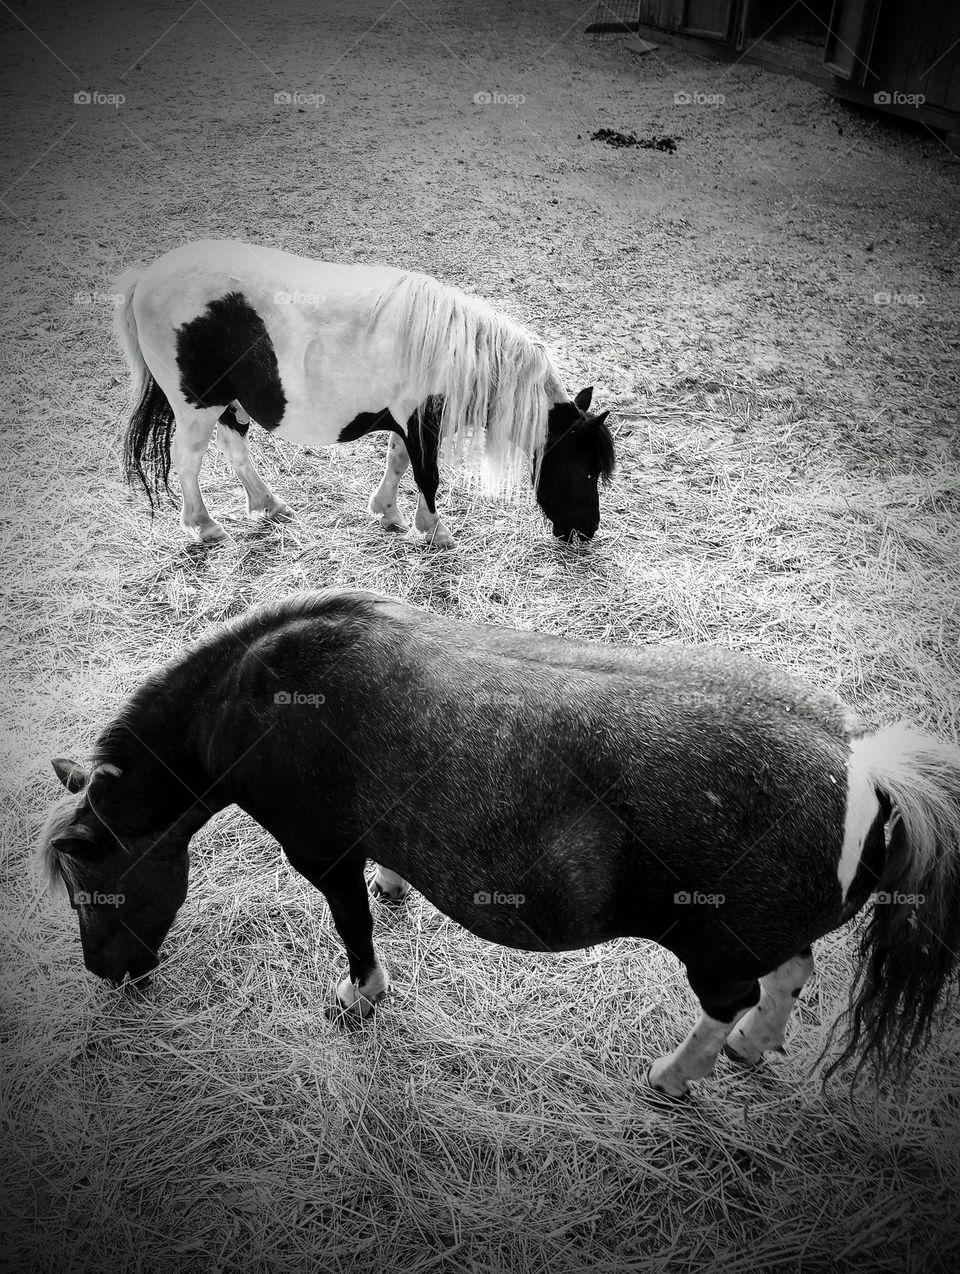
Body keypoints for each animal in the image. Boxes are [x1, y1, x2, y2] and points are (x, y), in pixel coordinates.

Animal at [37, 586, 957, 1095]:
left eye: (90, 886)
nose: (106, 972)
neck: (256, 694)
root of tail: (864, 764)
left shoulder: (319, 851)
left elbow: (351, 929)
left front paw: (359, 995)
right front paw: (395, 887)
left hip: (714, 943)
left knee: (729, 998)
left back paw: (675, 1075)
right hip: (756, 932)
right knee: (789, 974)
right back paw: (751, 1048)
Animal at [110, 239, 613, 547]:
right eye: (587, 471)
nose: (586, 532)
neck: (451, 348)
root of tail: (146, 279)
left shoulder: (407, 420)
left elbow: (398, 462)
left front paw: (388, 512)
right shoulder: (421, 422)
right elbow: (427, 477)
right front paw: (434, 530)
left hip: (231, 404)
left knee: (234, 447)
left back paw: (267, 504)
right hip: (198, 405)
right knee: (189, 460)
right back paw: (205, 525)